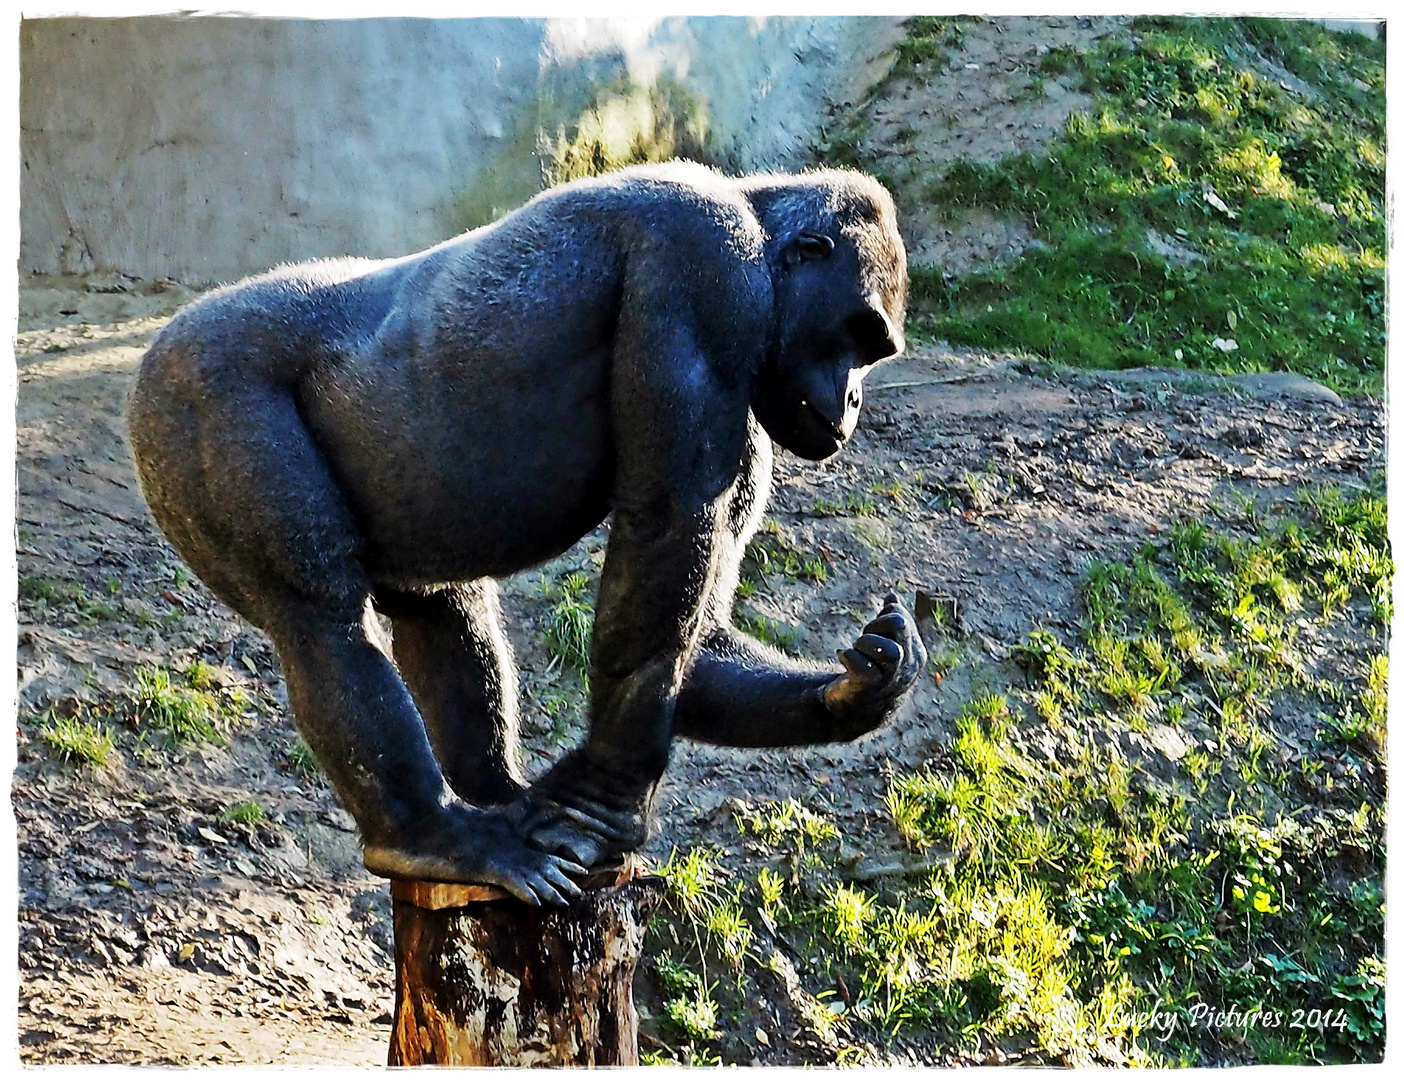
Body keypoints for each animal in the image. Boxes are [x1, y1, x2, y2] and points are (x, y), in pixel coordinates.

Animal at [126, 160, 926, 898]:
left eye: (873, 353)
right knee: (320, 620)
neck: (756, 221)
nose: (853, 401)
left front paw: (857, 691)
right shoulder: (705, 264)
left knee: (440, 607)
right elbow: (666, 534)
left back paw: (494, 795)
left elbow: (698, 624)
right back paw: (427, 837)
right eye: (858, 334)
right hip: (196, 390)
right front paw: (603, 799)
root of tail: (157, 347)